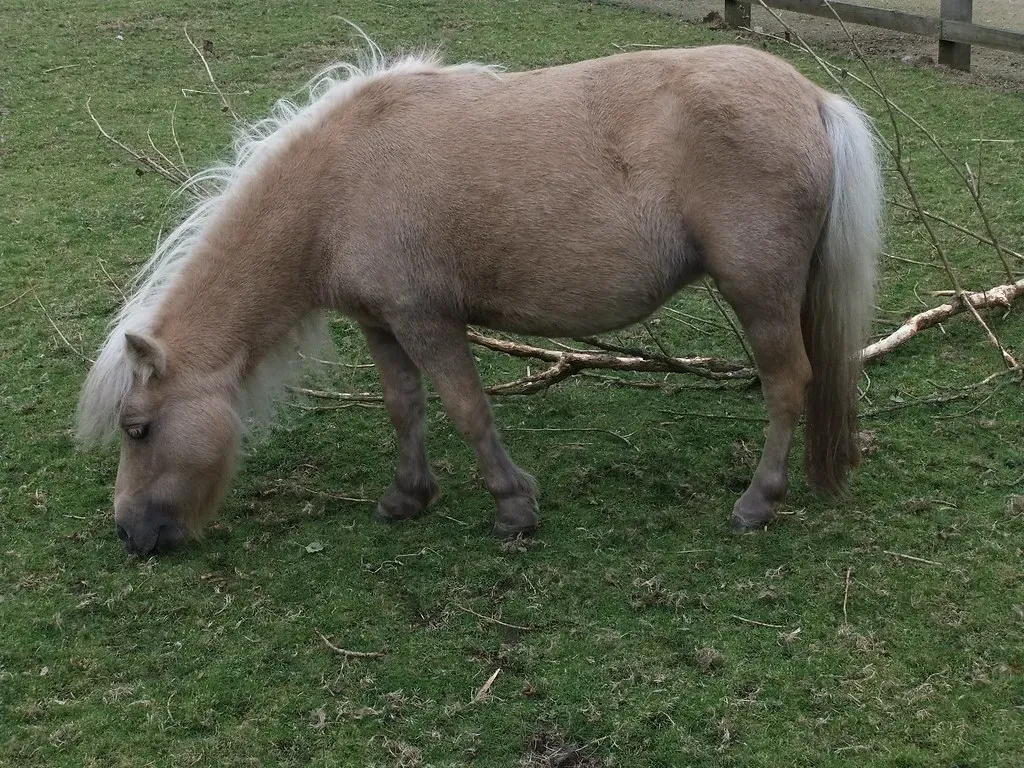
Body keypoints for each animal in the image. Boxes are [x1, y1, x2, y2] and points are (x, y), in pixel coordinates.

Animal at [77, 41, 882, 557]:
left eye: (138, 429)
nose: (130, 534)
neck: (339, 185)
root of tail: (812, 97)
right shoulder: (381, 324)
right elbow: (406, 407)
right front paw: (408, 497)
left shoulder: (426, 319)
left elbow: (466, 409)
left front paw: (513, 506)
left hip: (760, 297)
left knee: (788, 384)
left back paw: (758, 502)